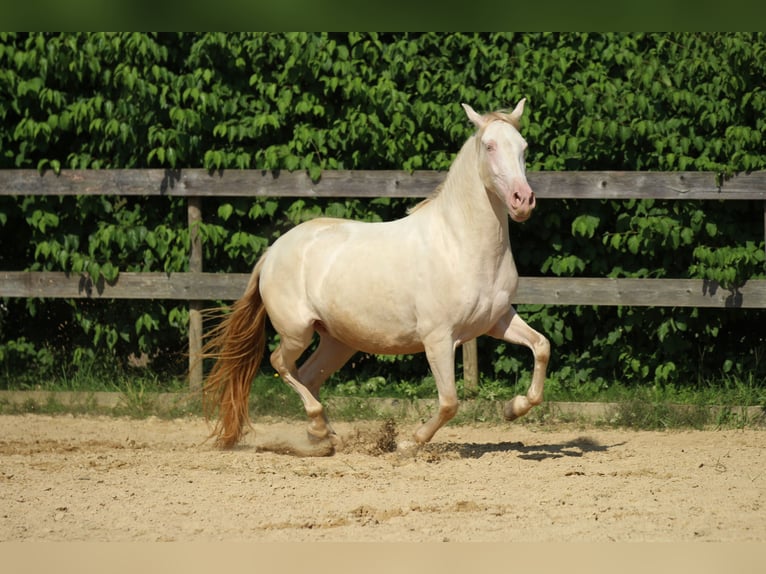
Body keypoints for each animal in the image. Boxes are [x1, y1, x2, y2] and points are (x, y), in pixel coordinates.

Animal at [204, 100, 552, 454]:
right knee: (281, 364)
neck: (459, 243)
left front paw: (513, 408)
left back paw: (325, 436)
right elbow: (449, 402)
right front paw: (410, 442)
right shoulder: (438, 338)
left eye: (523, 147)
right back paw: (320, 429)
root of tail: (273, 251)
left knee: (310, 376)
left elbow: (541, 346)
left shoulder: (496, 321)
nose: (523, 200)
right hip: (296, 332)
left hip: (337, 341)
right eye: (489, 146)